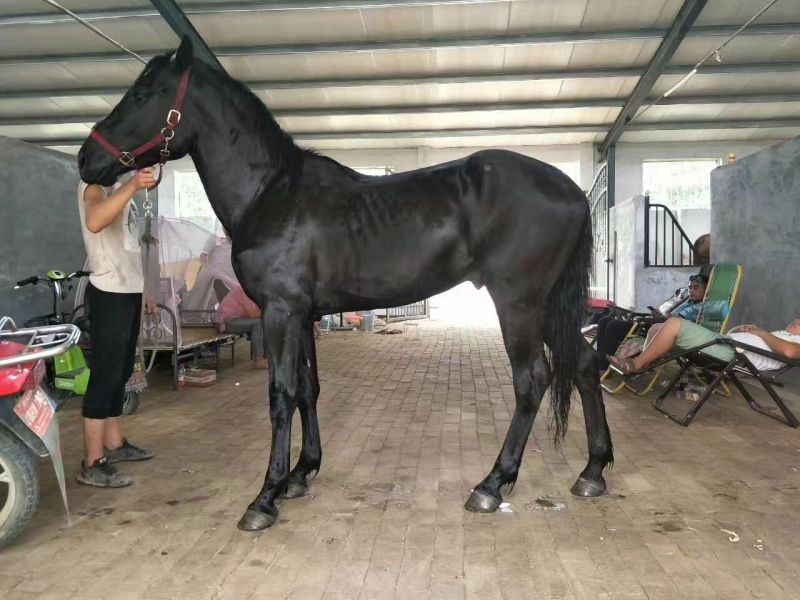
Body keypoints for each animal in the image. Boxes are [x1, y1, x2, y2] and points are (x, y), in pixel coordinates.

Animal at [78, 37, 614, 532]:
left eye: (143, 92)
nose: (85, 160)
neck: (271, 193)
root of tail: (570, 190)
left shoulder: (280, 312)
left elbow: (281, 395)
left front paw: (265, 496)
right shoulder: (304, 316)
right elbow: (308, 389)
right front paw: (301, 474)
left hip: (519, 305)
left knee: (533, 381)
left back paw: (491, 484)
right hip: (547, 307)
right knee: (586, 366)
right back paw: (592, 471)